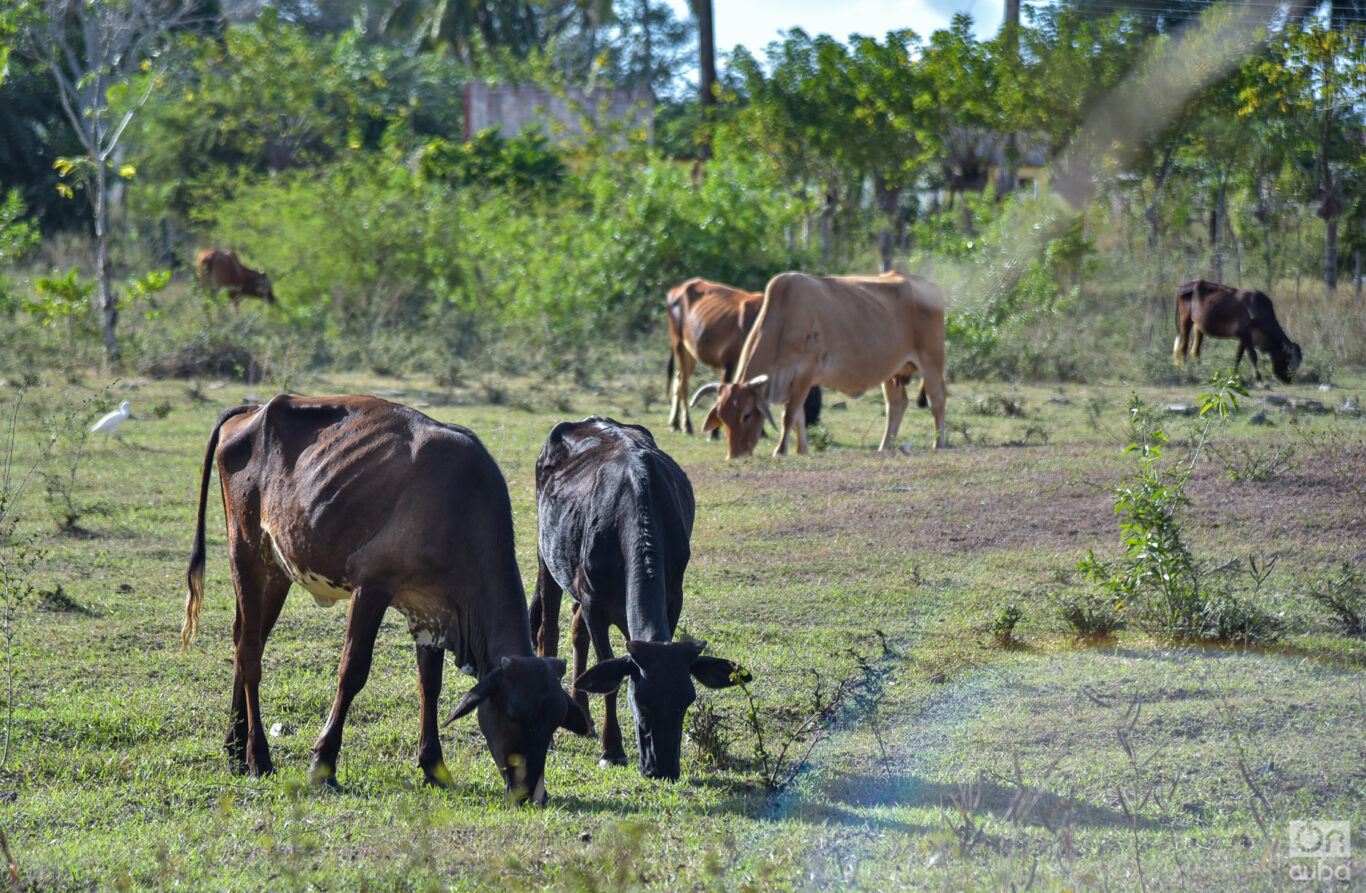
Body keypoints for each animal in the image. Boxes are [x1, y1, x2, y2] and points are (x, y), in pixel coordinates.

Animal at [182, 394, 589, 804]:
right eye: (514, 714)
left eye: (554, 722)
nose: (531, 793)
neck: (459, 509)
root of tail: (256, 409)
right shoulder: (371, 585)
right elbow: (352, 672)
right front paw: (322, 766)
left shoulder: (431, 611)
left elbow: (430, 684)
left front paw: (434, 766)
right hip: (246, 550)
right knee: (250, 654)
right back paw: (258, 756)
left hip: (277, 567)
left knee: (244, 640)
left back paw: (235, 750)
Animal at [528, 416, 748, 780]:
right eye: (641, 701)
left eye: (687, 701)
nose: (663, 769)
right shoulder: (594, 602)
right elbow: (609, 675)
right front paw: (612, 750)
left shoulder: (673, 596)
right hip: (547, 556)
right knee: (549, 631)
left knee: (576, 632)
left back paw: (583, 716)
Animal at [665, 277, 820, 438]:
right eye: (810, 402)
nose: (812, 425)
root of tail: (677, 290)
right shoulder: (729, 362)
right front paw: (714, 433)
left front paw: (760, 432)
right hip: (679, 344)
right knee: (683, 385)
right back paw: (686, 425)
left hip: (689, 352)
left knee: (678, 378)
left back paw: (674, 424)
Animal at [690, 271, 947, 459]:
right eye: (722, 416)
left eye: (747, 414)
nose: (735, 455)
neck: (783, 318)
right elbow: (799, 418)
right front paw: (801, 450)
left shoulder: (804, 374)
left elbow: (789, 415)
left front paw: (780, 450)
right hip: (892, 372)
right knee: (896, 404)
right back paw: (885, 446)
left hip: (932, 361)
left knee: (937, 400)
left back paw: (939, 442)